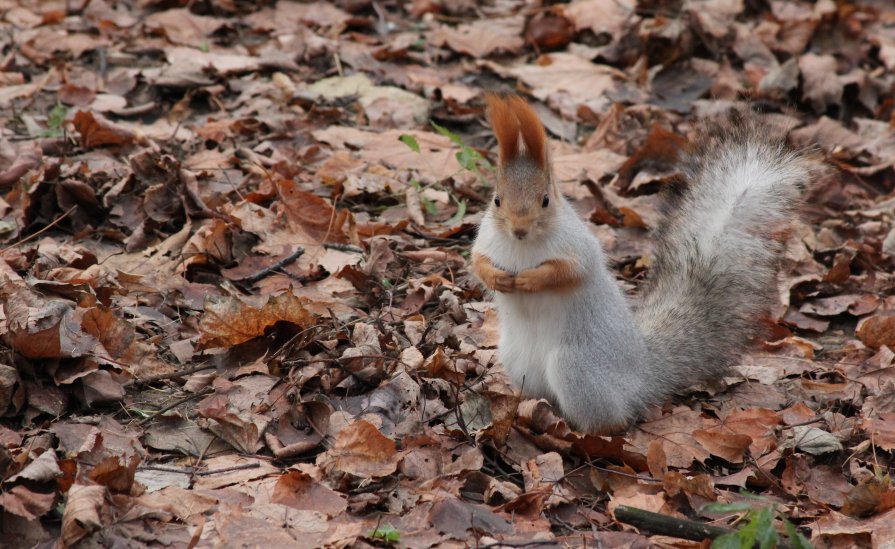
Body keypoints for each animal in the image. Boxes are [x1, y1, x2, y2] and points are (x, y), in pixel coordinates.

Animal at [472, 96, 824, 434]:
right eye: (496, 200)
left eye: (545, 200)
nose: (519, 229)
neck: (523, 247)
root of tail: (642, 376)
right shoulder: (486, 239)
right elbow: (478, 261)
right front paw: (496, 278)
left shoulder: (578, 247)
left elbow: (569, 271)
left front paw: (531, 280)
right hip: (516, 361)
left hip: (575, 368)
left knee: (611, 420)